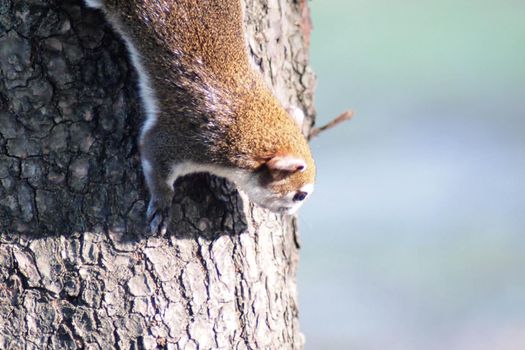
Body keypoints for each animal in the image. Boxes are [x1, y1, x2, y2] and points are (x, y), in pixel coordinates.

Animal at [83, 1, 314, 235]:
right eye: (300, 195)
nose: (290, 215)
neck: (247, 119)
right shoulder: (189, 139)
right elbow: (153, 155)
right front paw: (162, 204)